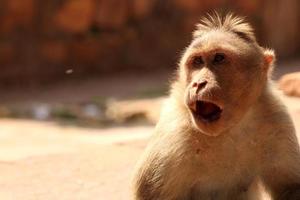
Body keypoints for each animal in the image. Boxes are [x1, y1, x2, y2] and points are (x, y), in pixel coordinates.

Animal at [132, 12, 300, 200]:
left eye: (219, 58)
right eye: (197, 61)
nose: (198, 83)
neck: (227, 130)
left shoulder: (275, 118)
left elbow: (290, 187)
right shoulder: (173, 133)